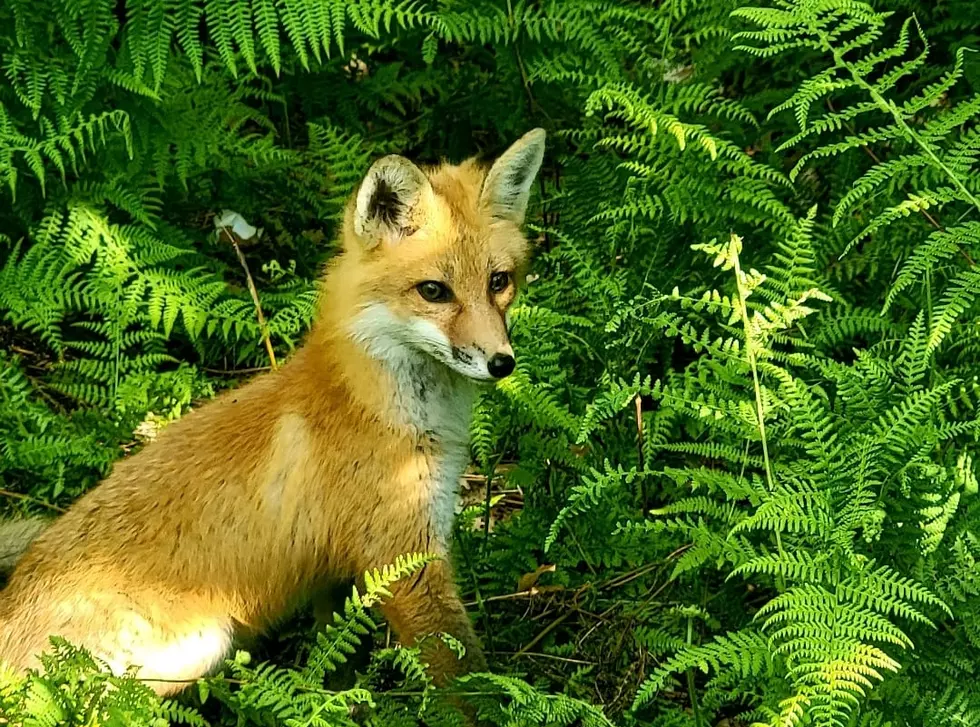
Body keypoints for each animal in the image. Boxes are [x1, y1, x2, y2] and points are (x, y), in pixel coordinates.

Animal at [0, 128, 548, 696]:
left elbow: (335, 660)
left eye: (499, 282)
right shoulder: (404, 561)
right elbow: (466, 685)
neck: (374, 407)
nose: (502, 362)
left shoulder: (339, 575)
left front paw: (344, 698)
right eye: (434, 291)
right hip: (198, 647)